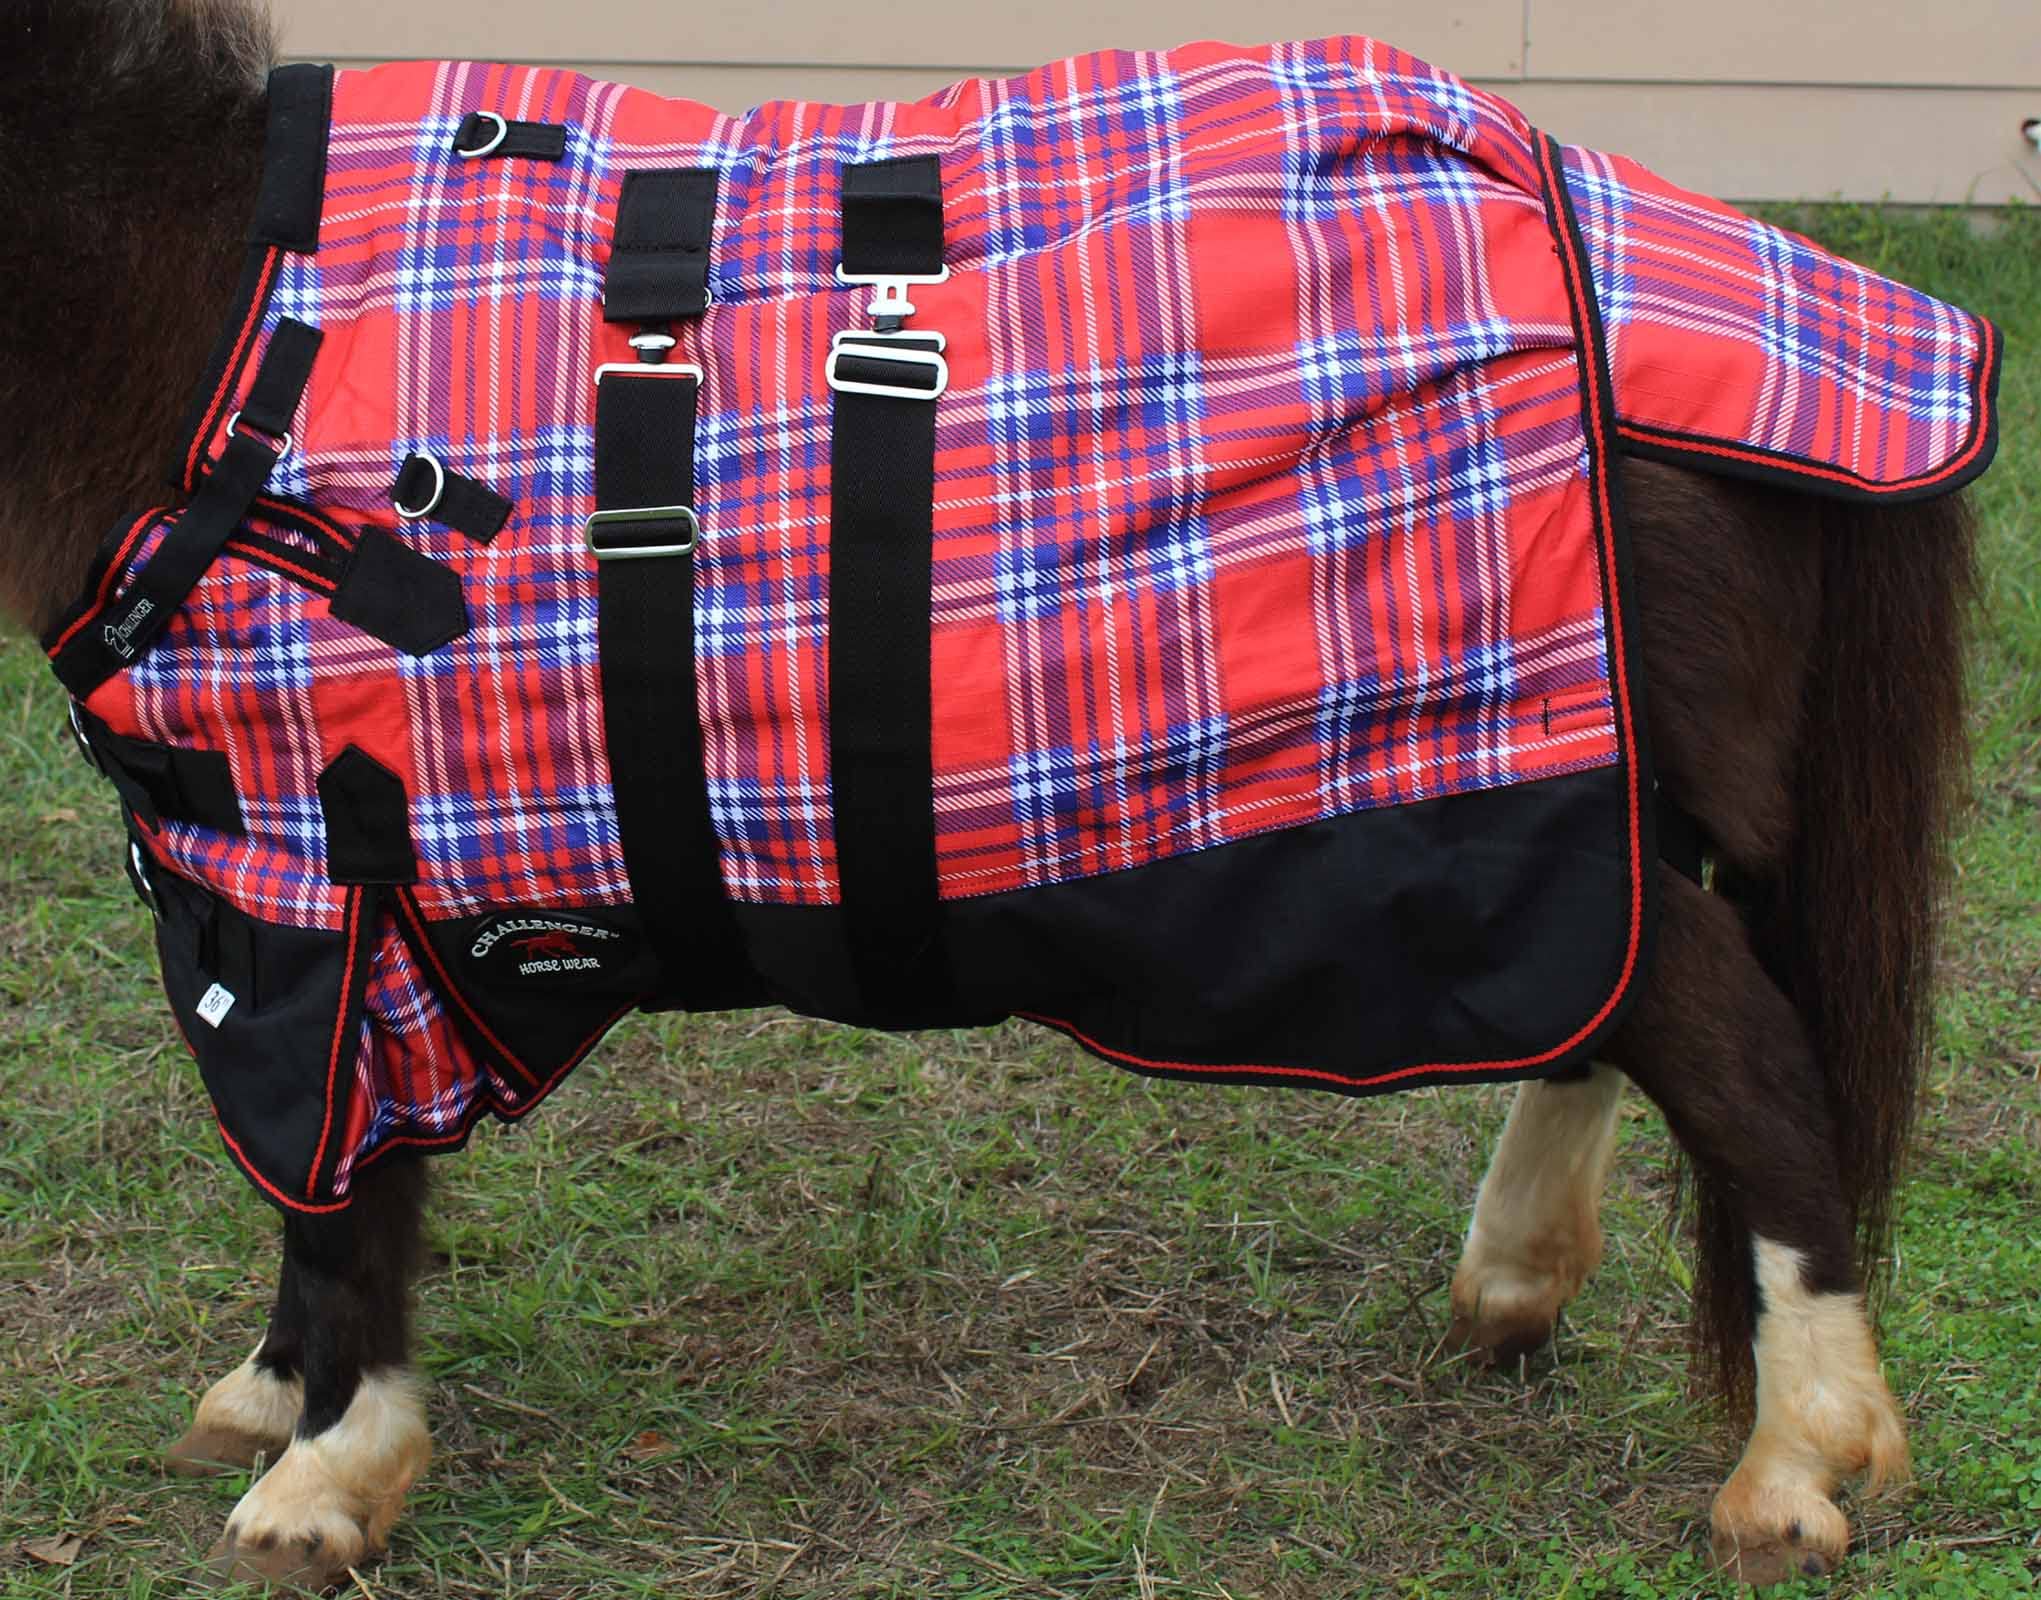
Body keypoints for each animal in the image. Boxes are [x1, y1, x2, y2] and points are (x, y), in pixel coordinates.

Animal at [0, 1, 1981, 1589]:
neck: (216, 327)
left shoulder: (317, 879)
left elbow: (339, 1185)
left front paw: (327, 1469)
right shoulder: (292, 892)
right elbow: (316, 1176)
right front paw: (272, 1398)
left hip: (1507, 790)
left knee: (1739, 1056)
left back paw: (1798, 1460)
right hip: (1563, 796)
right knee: (1621, 1009)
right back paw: (1518, 1283)